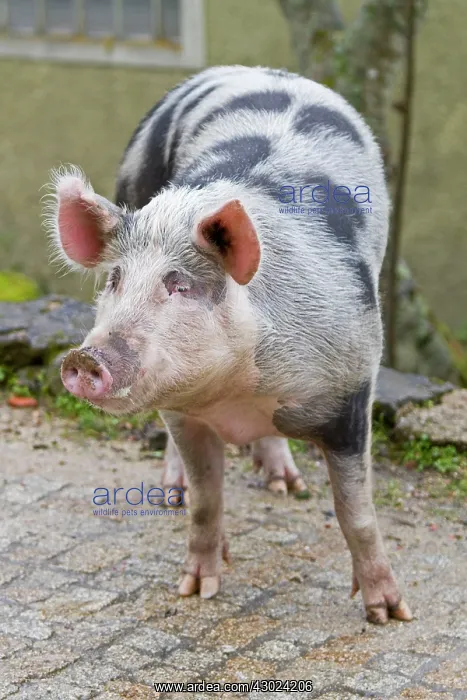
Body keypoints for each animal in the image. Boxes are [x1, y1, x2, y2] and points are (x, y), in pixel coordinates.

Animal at [46, 65, 412, 624]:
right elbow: (205, 501)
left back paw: (285, 484)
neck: (238, 391)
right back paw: (171, 494)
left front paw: (389, 614)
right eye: (115, 280)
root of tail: (247, 69)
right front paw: (196, 590)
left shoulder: (351, 390)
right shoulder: (183, 412)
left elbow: (357, 513)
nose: (86, 357)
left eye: (179, 285)